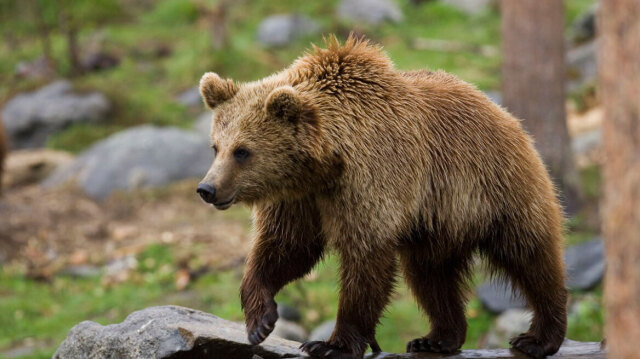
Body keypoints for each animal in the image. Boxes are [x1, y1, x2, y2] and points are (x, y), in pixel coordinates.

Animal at [195, 37, 564, 359]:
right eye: (216, 146)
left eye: (243, 151)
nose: (207, 189)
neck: (326, 163)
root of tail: (504, 113)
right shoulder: (301, 198)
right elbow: (286, 247)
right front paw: (260, 320)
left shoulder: (373, 179)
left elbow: (365, 259)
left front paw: (331, 344)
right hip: (438, 222)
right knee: (430, 275)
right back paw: (438, 337)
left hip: (494, 189)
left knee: (530, 255)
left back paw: (539, 337)